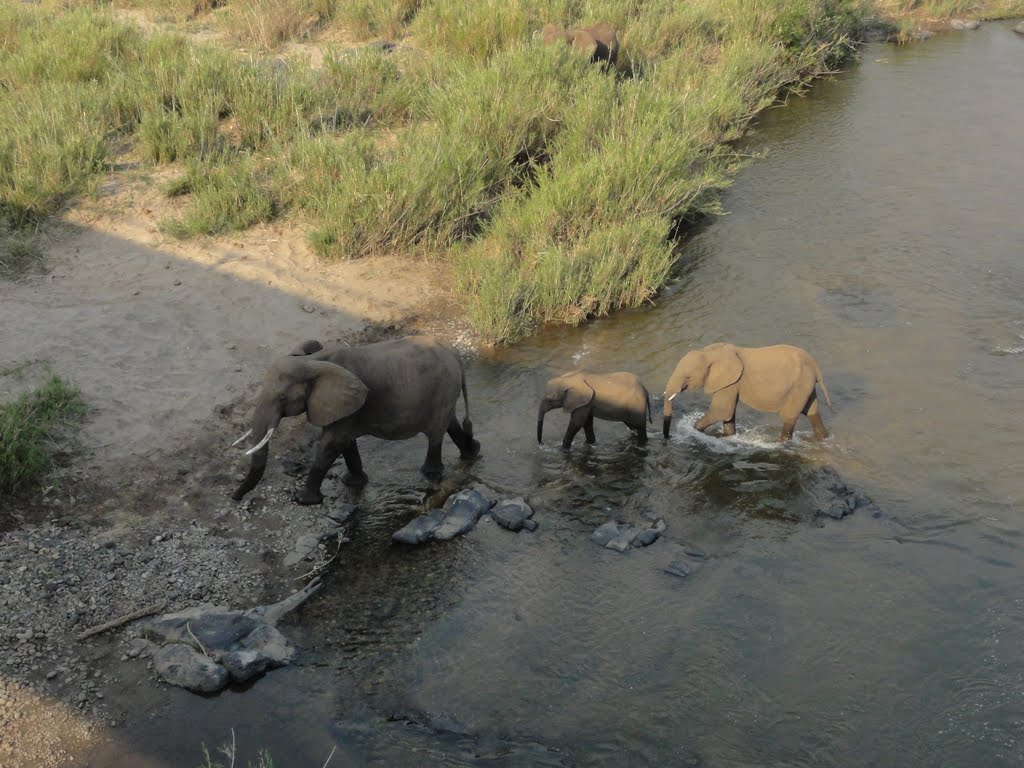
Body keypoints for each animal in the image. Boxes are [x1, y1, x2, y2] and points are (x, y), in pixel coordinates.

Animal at [234, 335, 481, 505]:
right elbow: (345, 443)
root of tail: (455, 355)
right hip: (445, 393)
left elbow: (332, 443)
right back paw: (473, 451)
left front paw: (303, 500)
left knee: (436, 434)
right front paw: (354, 482)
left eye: (283, 398)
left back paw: (431, 473)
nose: (234, 497)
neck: (312, 362)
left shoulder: (349, 404)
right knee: (450, 423)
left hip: (443, 389)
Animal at [663, 344, 831, 444]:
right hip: (805, 385)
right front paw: (729, 437)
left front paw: (694, 431)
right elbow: (727, 414)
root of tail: (815, 365)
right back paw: (823, 438)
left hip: (799, 385)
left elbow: (722, 411)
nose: (667, 437)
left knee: (789, 416)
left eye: (687, 377)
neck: (710, 352)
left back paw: (779, 444)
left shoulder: (731, 381)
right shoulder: (729, 383)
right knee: (811, 411)